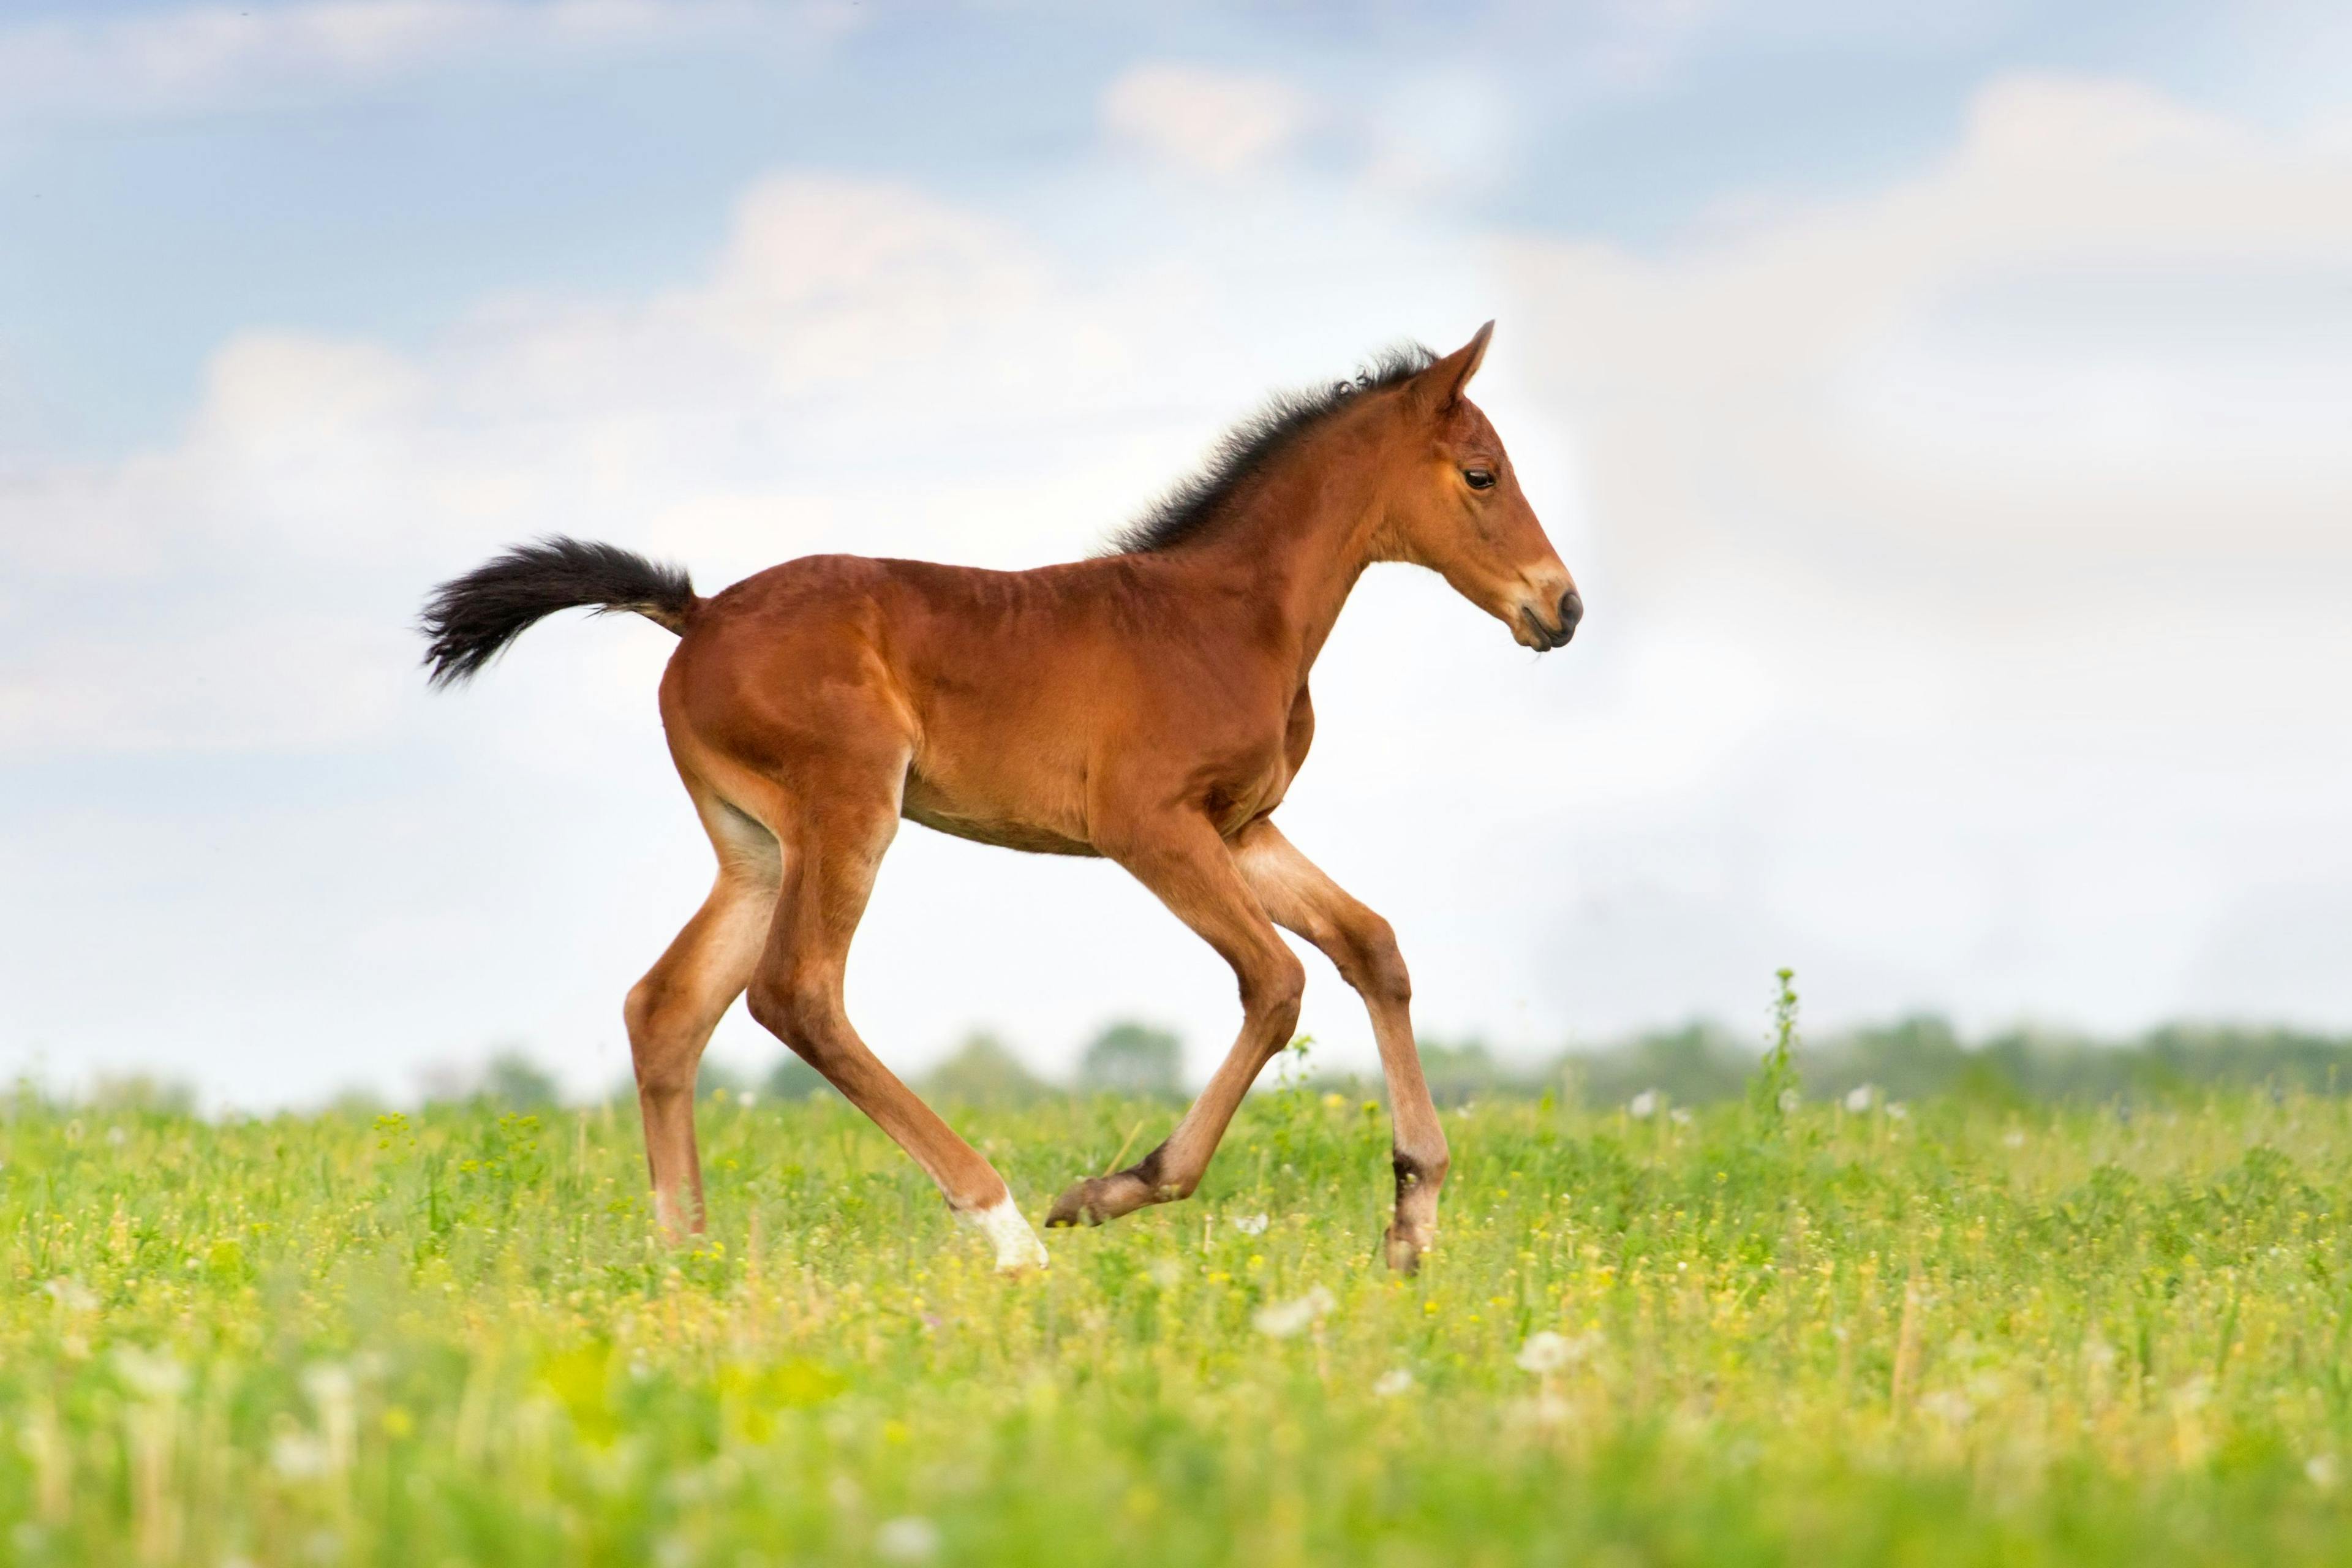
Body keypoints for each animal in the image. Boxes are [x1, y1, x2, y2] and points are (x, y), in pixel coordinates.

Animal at [423, 322, 1580, 1278]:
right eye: (1482, 474)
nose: (1561, 606)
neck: (1230, 615)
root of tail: (697, 613)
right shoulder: (1149, 827)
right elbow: (1277, 980)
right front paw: (1116, 1190)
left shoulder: (1242, 827)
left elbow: (1371, 946)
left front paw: (1413, 1218)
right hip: (849, 812)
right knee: (795, 994)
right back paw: (1008, 1228)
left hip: (754, 844)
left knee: (668, 1008)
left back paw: (683, 1259)